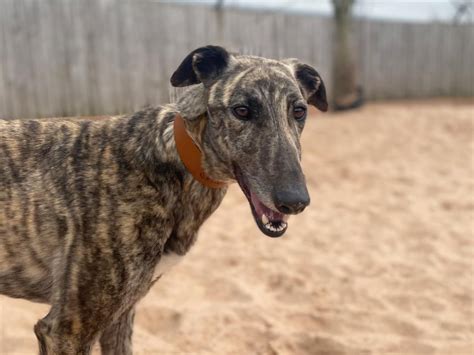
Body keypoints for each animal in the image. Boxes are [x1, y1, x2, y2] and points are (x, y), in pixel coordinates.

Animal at [0, 46, 326, 354]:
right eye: (242, 110)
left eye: (299, 111)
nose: (295, 201)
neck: (173, 160)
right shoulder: (67, 330)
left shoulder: (120, 316)